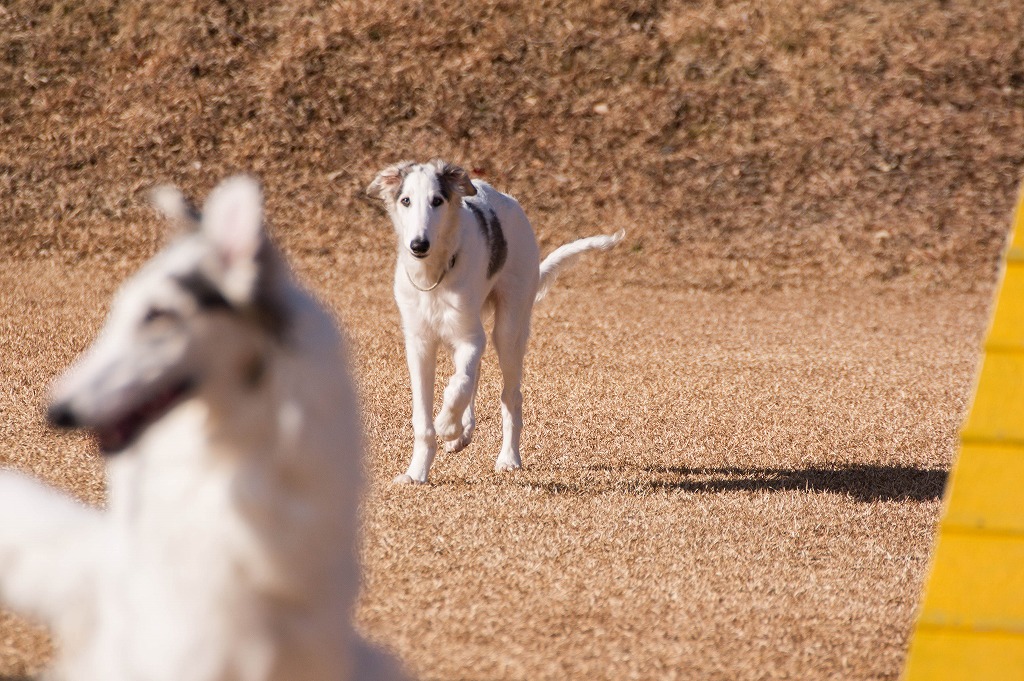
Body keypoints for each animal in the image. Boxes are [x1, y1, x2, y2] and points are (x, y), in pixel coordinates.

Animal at [368, 159, 622, 483]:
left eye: (437, 201)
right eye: (405, 200)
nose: (418, 245)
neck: (434, 276)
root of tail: (509, 201)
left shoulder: (471, 337)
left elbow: (459, 384)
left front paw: (447, 424)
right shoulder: (419, 344)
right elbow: (425, 417)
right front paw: (416, 472)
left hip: (509, 327)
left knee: (509, 395)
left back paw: (508, 457)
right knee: (475, 377)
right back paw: (463, 435)